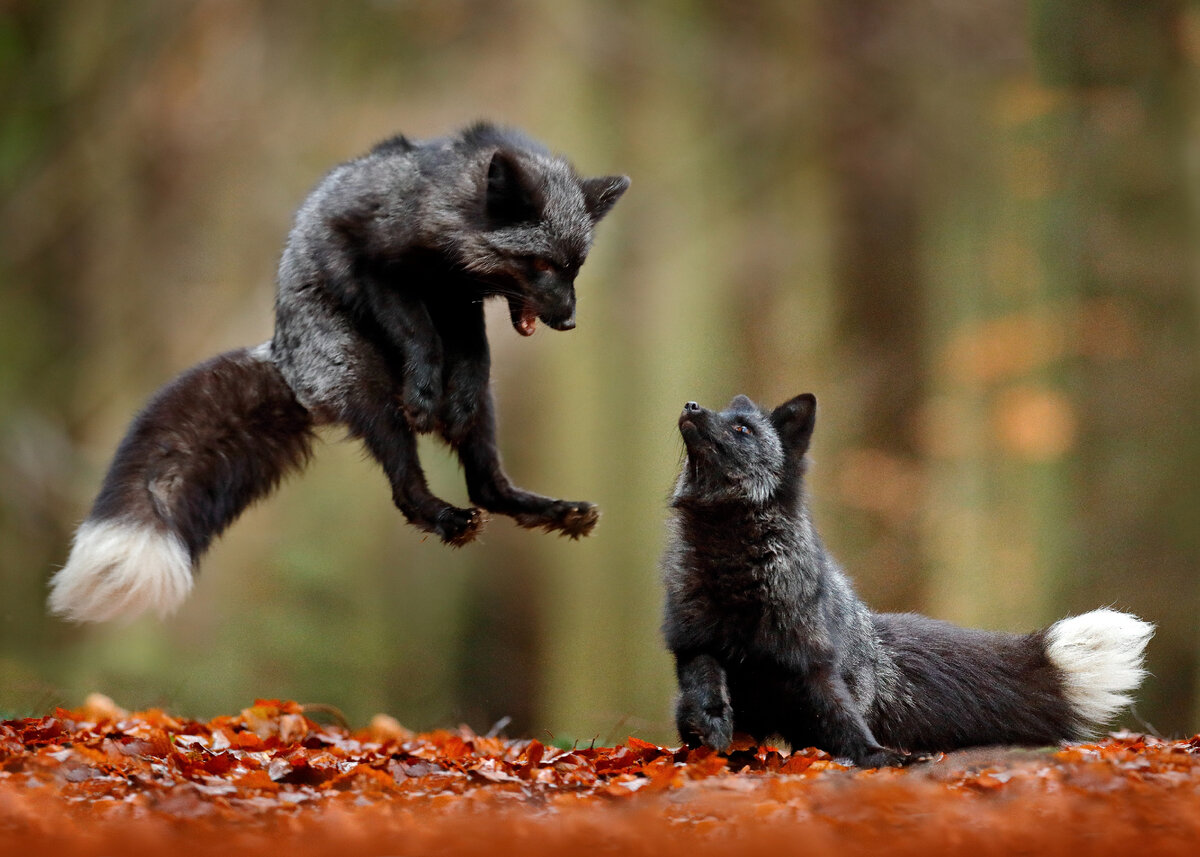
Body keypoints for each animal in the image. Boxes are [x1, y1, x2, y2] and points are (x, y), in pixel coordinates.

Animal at [49, 121, 628, 619]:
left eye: (575, 268)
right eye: (541, 265)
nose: (569, 321)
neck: (438, 207)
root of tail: (282, 354)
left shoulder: (459, 306)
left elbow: (471, 355)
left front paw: (450, 395)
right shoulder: (378, 268)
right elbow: (419, 335)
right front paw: (424, 391)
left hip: (485, 406)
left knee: (487, 484)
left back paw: (553, 510)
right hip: (368, 390)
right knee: (406, 491)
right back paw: (442, 515)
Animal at [662, 391, 1156, 763]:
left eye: (743, 429)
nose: (690, 406)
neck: (731, 562)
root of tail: (873, 637)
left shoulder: (812, 663)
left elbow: (844, 723)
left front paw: (877, 758)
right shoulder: (693, 641)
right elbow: (705, 679)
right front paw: (711, 723)